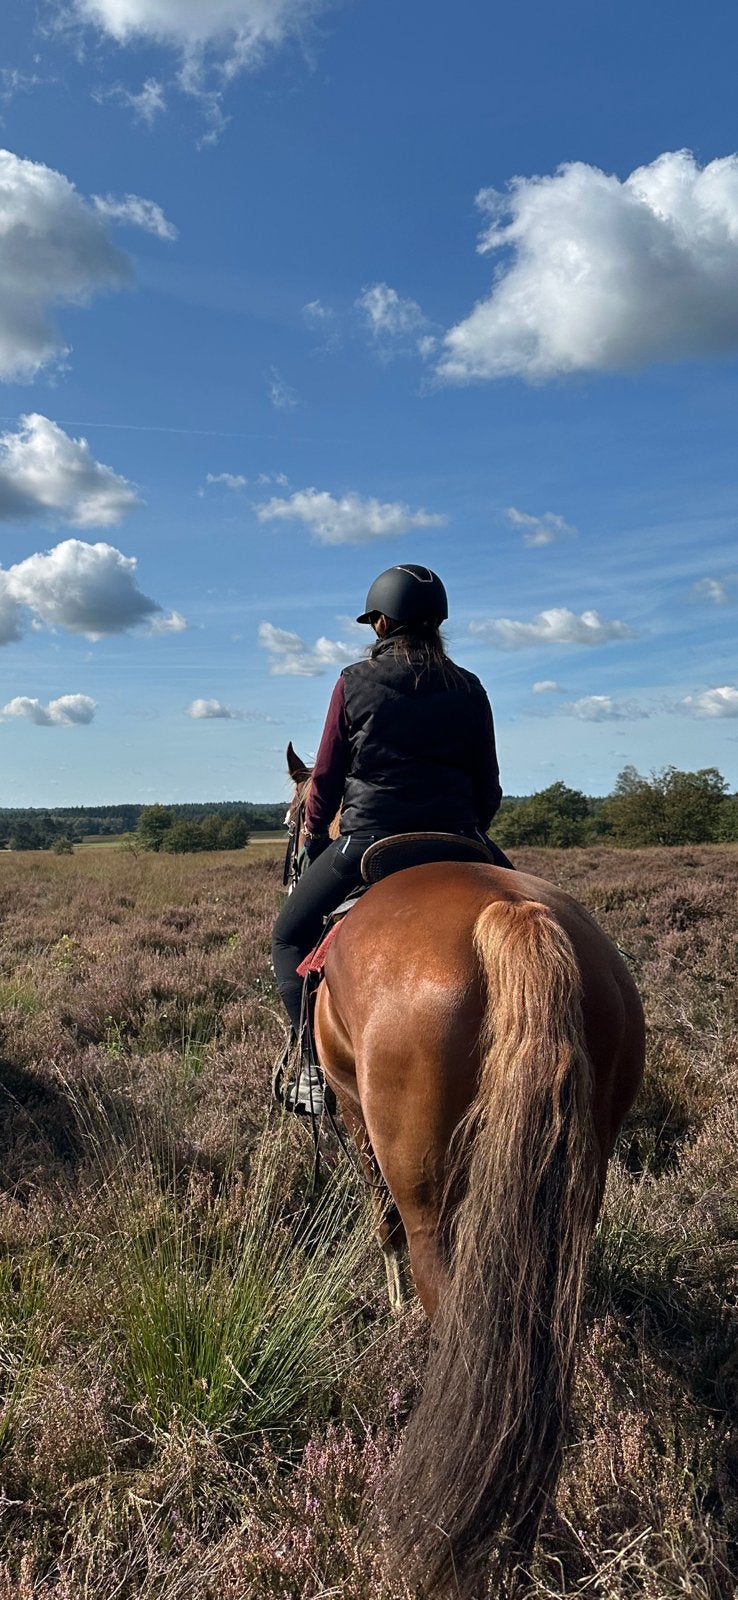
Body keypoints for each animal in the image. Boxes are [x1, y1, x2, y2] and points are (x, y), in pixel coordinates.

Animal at [284, 743, 645, 1597]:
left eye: (293, 816)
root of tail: (515, 921)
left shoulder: (356, 1113)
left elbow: (379, 1221)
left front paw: (389, 1312)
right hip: (576, 1190)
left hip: (428, 1189)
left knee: (446, 1299)